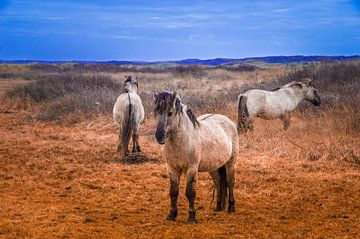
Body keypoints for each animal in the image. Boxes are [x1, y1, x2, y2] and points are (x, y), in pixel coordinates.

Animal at [153, 91, 239, 224]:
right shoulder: (172, 168)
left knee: (230, 182)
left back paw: (231, 207)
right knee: (219, 182)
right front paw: (171, 215)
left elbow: (190, 192)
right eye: (155, 112)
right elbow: (173, 192)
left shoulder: (191, 168)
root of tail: (228, 121)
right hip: (213, 166)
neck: (183, 141)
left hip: (231, 162)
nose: (159, 136)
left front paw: (192, 217)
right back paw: (218, 207)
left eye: (170, 112)